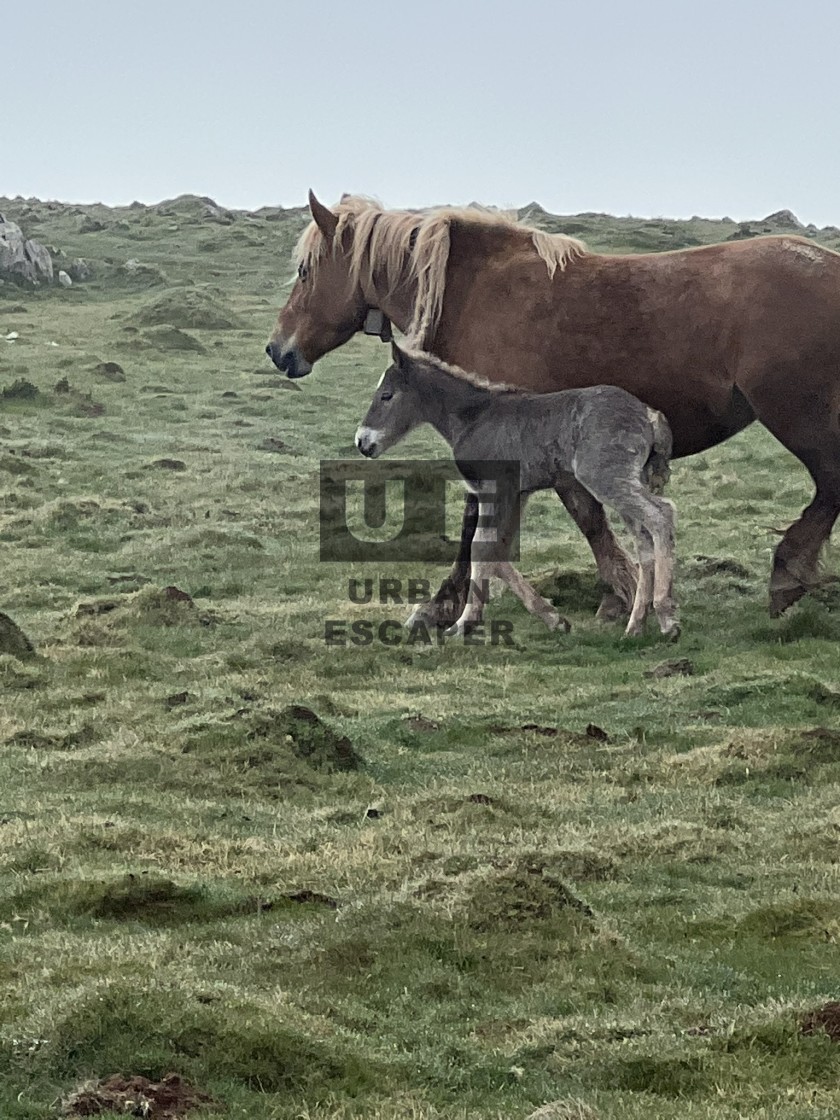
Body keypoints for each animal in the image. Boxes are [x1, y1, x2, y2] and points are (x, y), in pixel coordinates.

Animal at [353, 340, 676, 640]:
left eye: (386, 395)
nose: (362, 442)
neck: (474, 417)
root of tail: (649, 415)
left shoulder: (495, 489)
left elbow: (480, 547)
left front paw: (464, 623)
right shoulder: (517, 493)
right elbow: (497, 550)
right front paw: (553, 618)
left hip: (604, 477)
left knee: (661, 514)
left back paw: (667, 617)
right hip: (625, 481)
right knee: (644, 540)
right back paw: (636, 625)